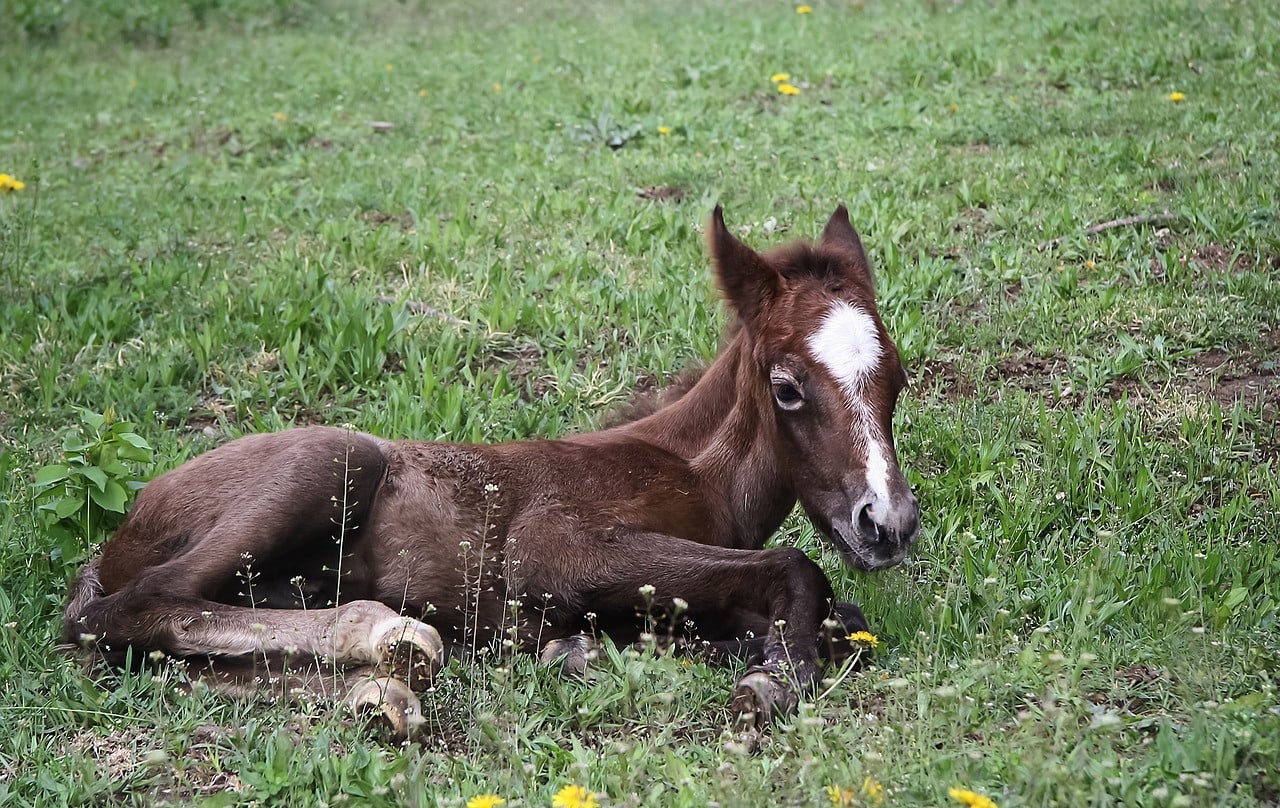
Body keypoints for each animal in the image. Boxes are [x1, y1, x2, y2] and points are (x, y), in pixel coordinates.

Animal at [62, 205, 920, 736]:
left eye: (898, 377)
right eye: (788, 387)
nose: (888, 523)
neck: (691, 469)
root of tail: (123, 529)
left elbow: (839, 619)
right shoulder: (551, 548)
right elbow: (798, 568)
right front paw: (769, 679)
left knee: (159, 654)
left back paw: (383, 691)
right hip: (334, 458)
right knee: (129, 611)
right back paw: (388, 635)